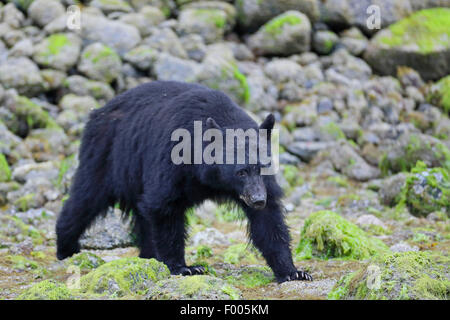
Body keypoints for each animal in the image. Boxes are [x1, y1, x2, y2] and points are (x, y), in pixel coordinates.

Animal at [55, 80, 312, 282]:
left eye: (263, 167)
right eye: (241, 171)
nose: (257, 199)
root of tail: (99, 111)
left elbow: (268, 221)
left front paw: (293, 271)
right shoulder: (171, 161)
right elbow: (163, 207)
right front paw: (184, 267)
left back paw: (148, 255)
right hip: (106, 154)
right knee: (86, 198)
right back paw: (66, 247)